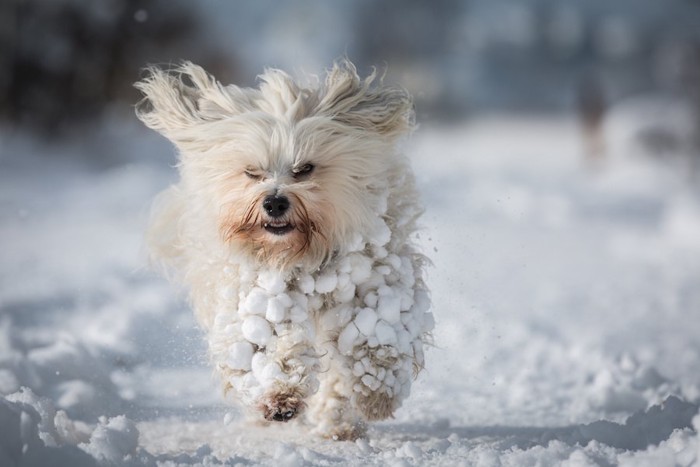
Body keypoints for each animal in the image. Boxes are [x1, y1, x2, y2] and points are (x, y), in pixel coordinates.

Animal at [135, 60, 434, 440]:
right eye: (252, 172)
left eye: (304, 168)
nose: (274, 202)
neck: (301, 253)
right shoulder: (260, 288)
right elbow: (270, 340)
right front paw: (280, 397)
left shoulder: (374, 274)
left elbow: (378, 330)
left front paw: (375, 389)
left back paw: (337, 420)